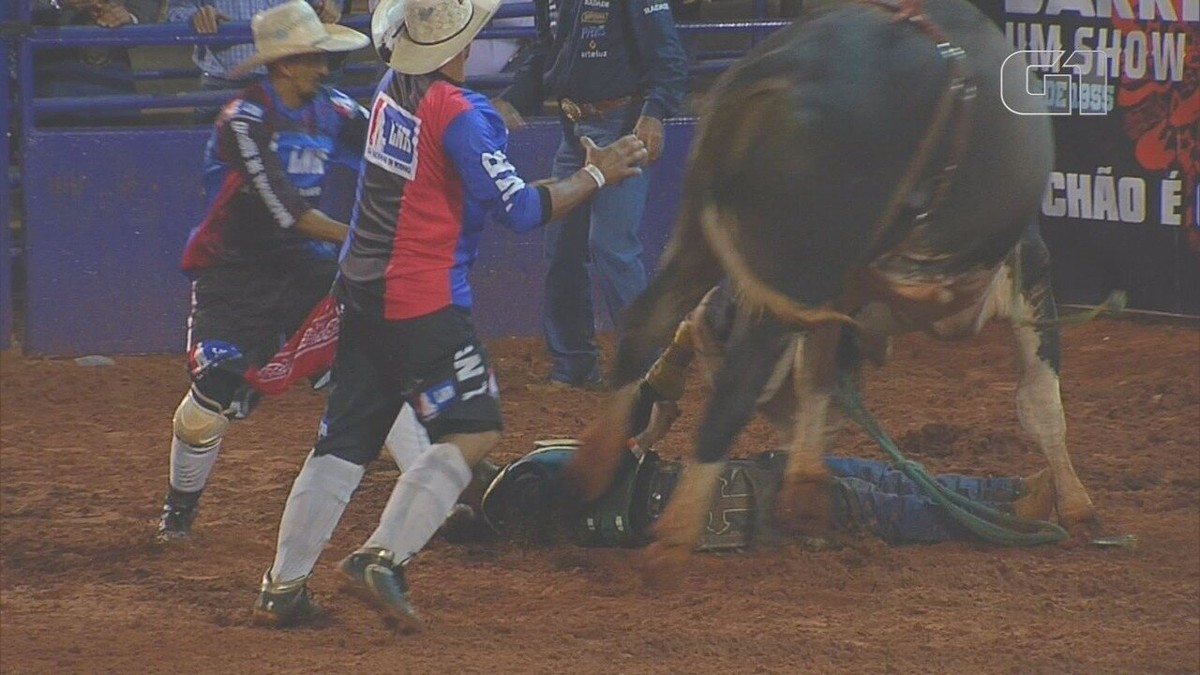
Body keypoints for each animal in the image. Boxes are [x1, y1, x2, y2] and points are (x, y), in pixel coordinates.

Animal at [566, 0, 1099, 576]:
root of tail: (775, 70)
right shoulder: (1029, 267)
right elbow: (1042, 401)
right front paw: (1079, 508)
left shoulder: (838, 299)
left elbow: (816, 376)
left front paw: (804, 488)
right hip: (800, 262)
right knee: (738, 380)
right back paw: (671, 541)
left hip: (699, 239)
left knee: (649, 321)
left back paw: (595, 462)